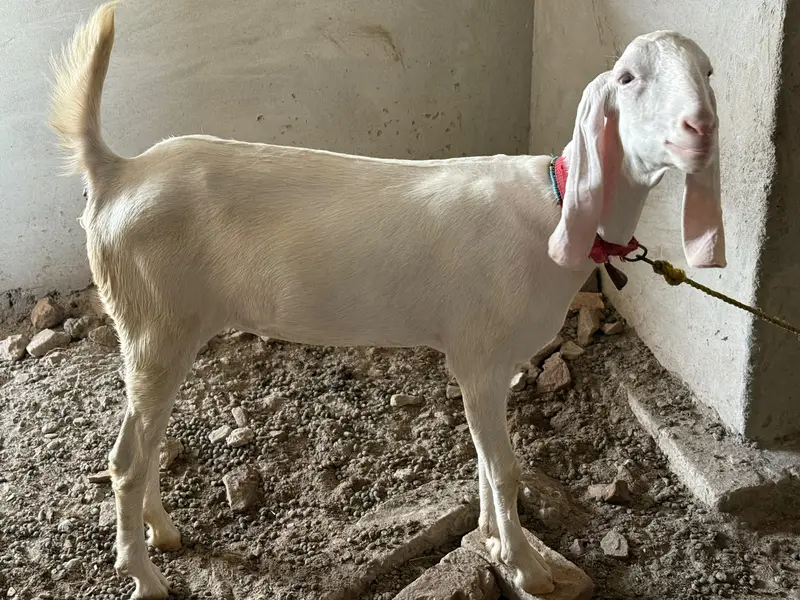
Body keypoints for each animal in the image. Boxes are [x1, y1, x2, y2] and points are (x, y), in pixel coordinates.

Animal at [48, 3, 725, 598]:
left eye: (709, 72)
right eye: (628, 77)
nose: (701, 130)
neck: (552, 208)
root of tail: (117, 174)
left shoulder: (493, 363)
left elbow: (486, 461)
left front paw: (493, 541)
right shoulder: (479, 356)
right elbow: (505, 468)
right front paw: (528, 569)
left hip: (166, 330)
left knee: (145, 445)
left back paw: (165, 535)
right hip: (152, 327)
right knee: (126, 459)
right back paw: (146, 578)